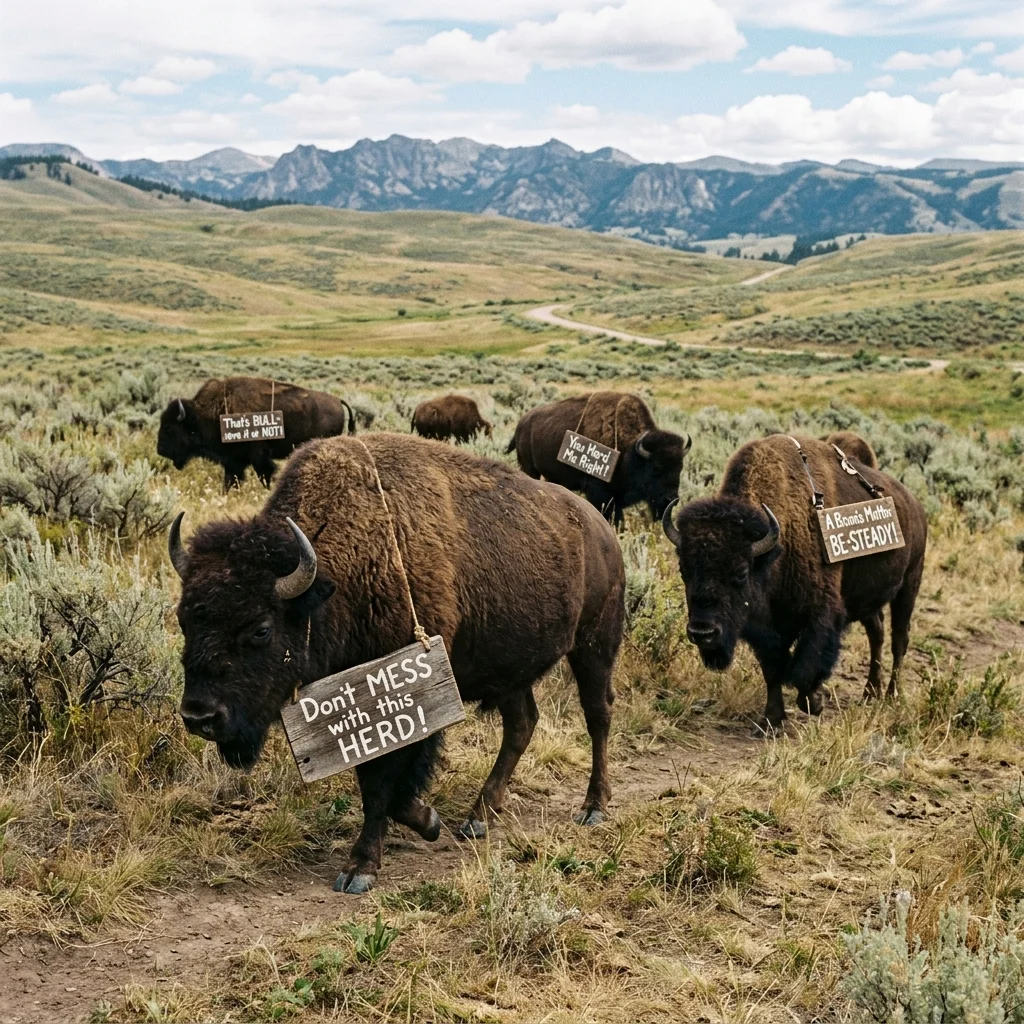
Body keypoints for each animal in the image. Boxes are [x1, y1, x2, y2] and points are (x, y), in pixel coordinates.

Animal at [158, 376, 355, 491]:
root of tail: (337, 401)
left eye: (169, 428)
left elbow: (264, 474)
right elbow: (230, 480)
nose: (160, 450)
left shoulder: (258, 456)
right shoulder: (234, 460)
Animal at [168, 432, 625, 893]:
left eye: (261, 629)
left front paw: (360, 869)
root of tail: (602, 529)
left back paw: (593, 807)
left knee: (597, 715)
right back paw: (478, 818)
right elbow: (384, 785)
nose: (199, 716)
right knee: (522, 724)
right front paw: (429, 821)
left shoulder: (407, 693)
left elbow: (382, 784)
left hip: (594, 646)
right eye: (183, 618)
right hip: (513, 670)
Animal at [508, 392, 691, 526]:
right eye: (656, 469)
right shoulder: (599, 493)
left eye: (680, 468)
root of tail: (522, 423)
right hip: (529, 468)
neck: (630, 450)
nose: (671, 500)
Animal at [662, 433, 926, 731]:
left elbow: (804, 667)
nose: (702, 632)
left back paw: (892, 695)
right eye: (683, 569)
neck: (777, 545)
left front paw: (814, 702)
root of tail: (915, 505)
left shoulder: (821, 614)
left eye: (741, 572)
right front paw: (771, 719)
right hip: (869, 598)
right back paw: (870, 693)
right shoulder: (768, 627)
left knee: (899, 640)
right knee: (877, 633)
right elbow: (773, 669)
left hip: (910, 584)